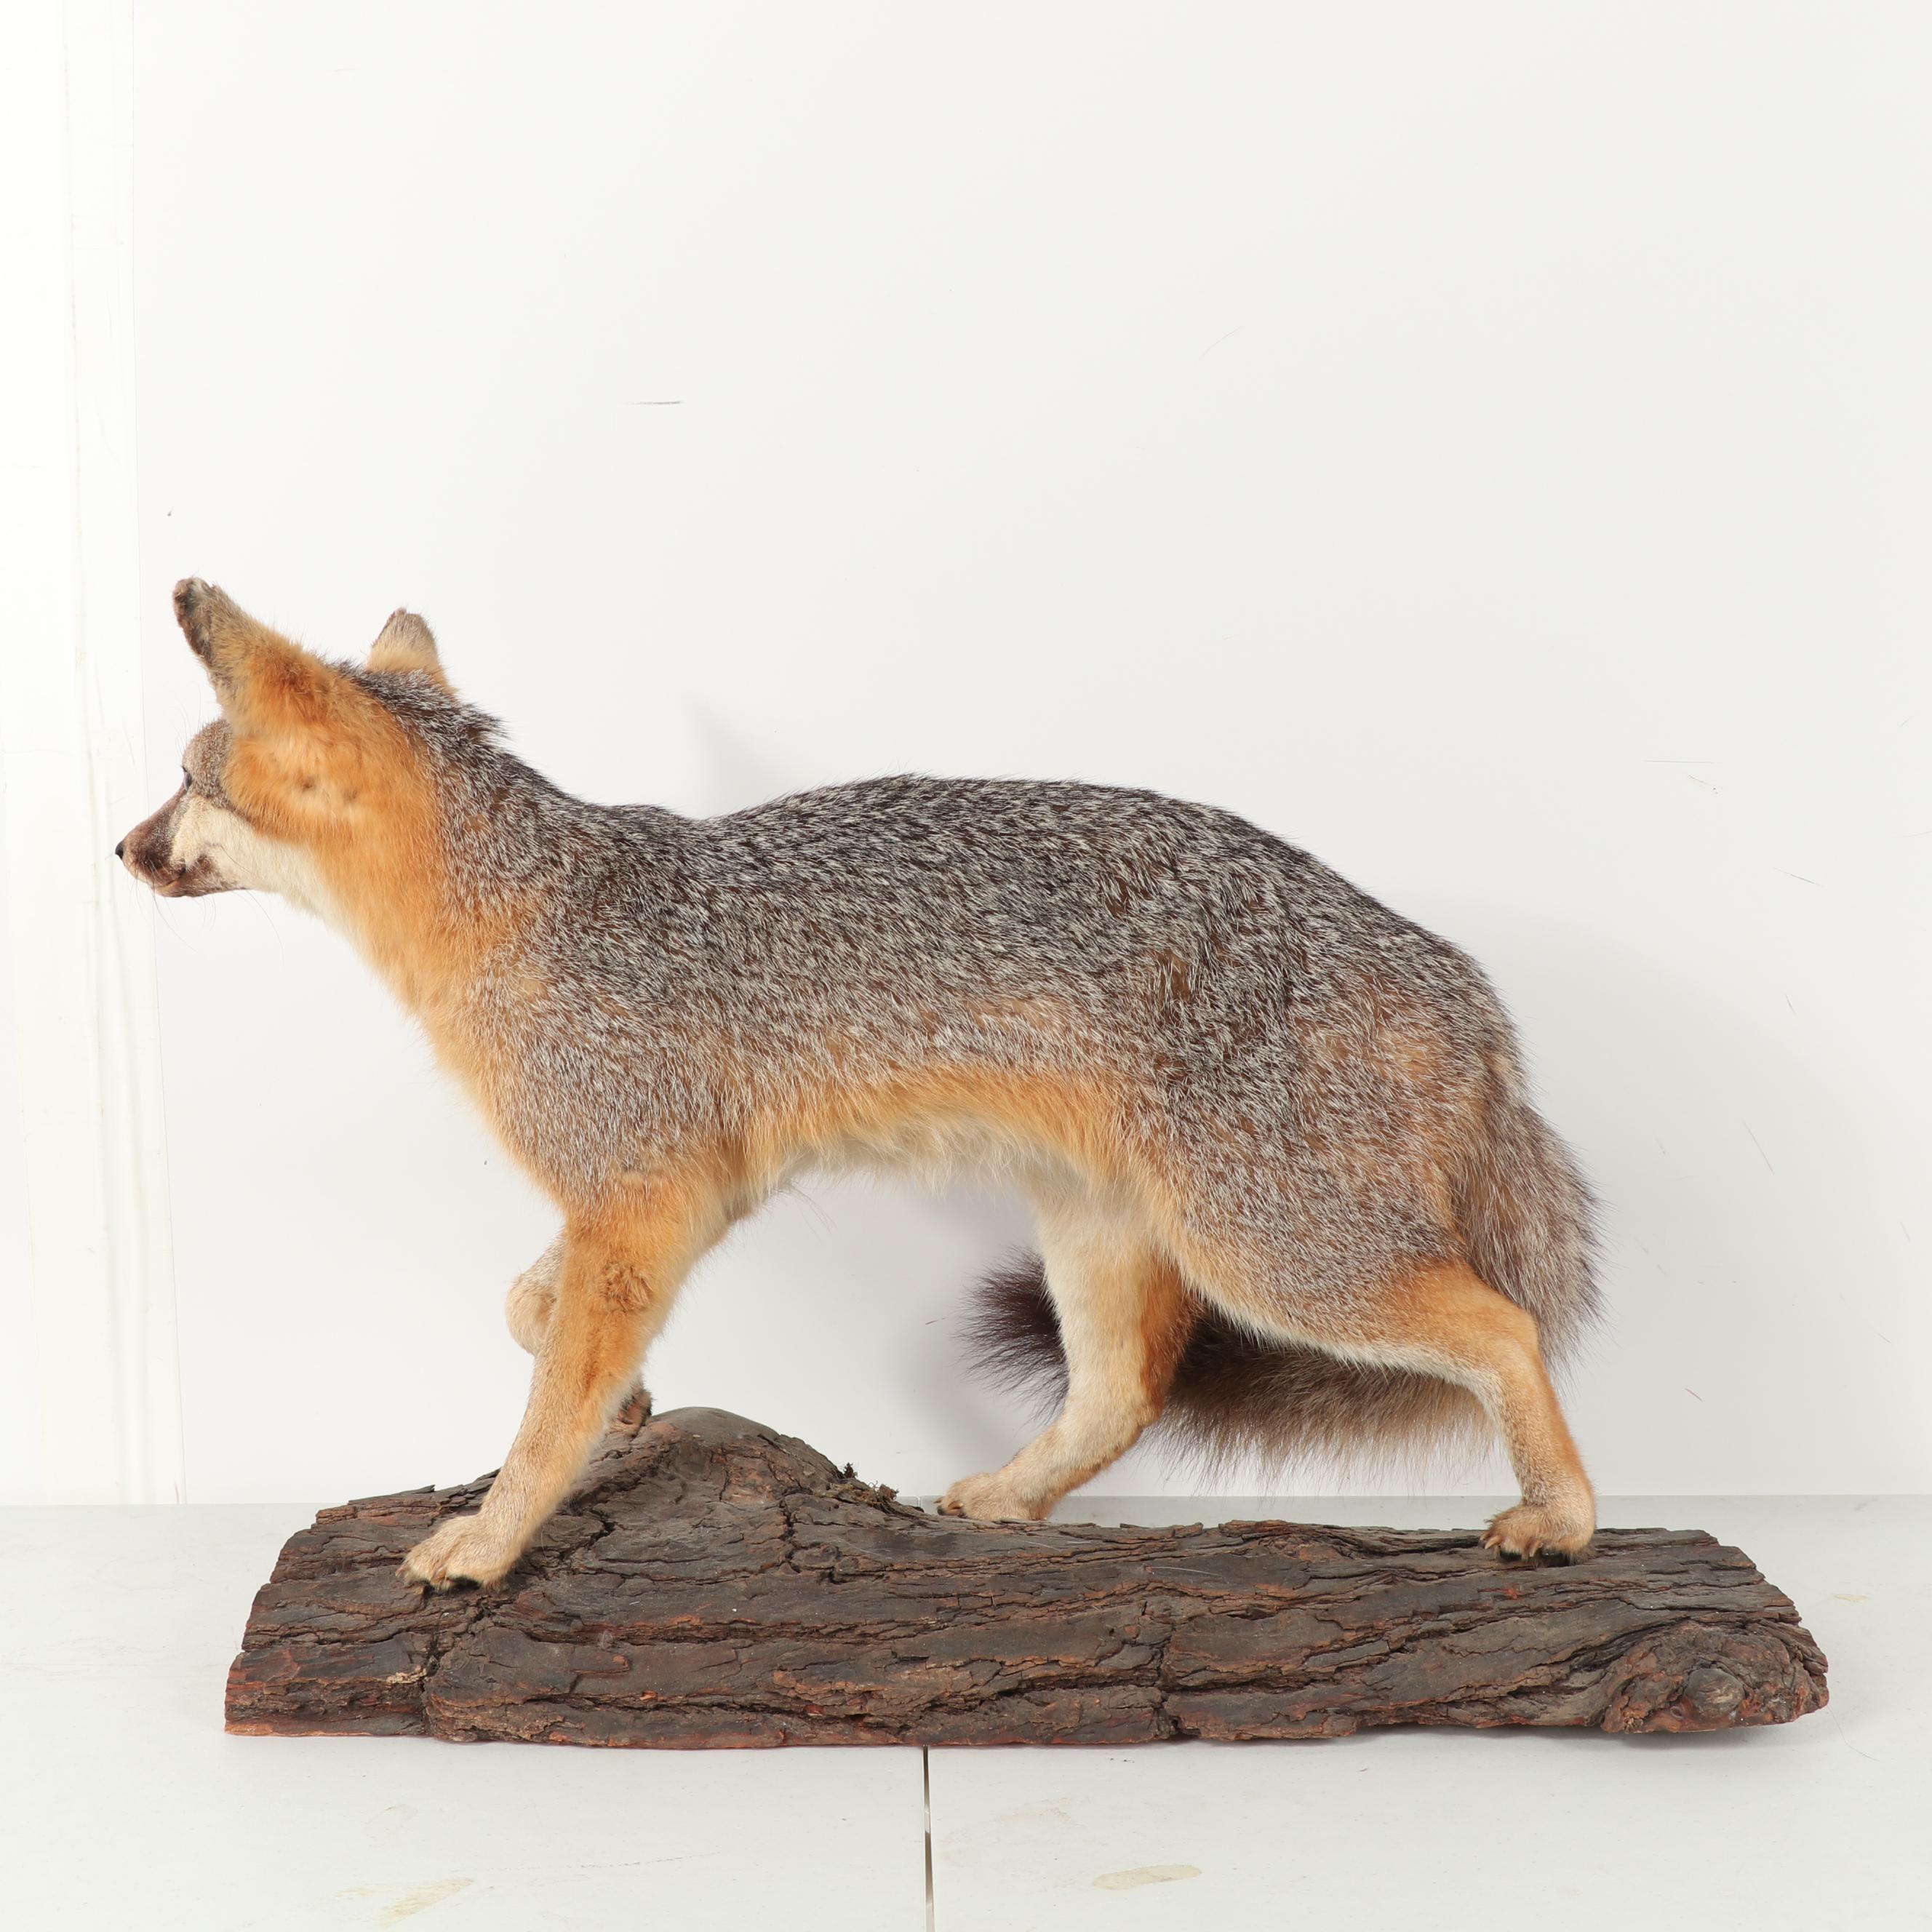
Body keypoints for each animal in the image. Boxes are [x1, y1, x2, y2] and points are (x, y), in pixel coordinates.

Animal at [120, 578, 1600, 1588]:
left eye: (187, 781)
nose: (122, 847)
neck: (530, 910)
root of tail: (1459, 983)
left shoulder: (641, 1204)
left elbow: (543, 1416)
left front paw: (490, 1539)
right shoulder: (665, 1196)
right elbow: (527, 1306)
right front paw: (626, 1400)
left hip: (1275, 1253)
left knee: (1507, 1326)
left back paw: (1566, 1515)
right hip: (1103, 1235)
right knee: (1122, 1398)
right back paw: (1013, 1498)